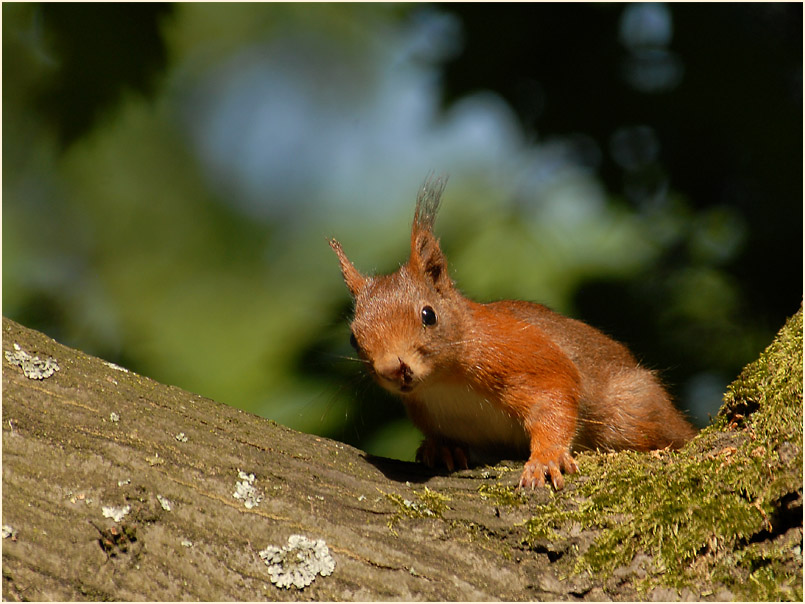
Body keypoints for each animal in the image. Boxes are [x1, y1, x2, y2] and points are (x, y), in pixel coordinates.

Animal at [330, 175, 697, 490]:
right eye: (353, 338)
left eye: (428, 315)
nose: (394, 368)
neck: (444, 383)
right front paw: (439, 448)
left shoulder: (524, 355)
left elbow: (556, 400)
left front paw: (545, 459)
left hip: (631, 410)